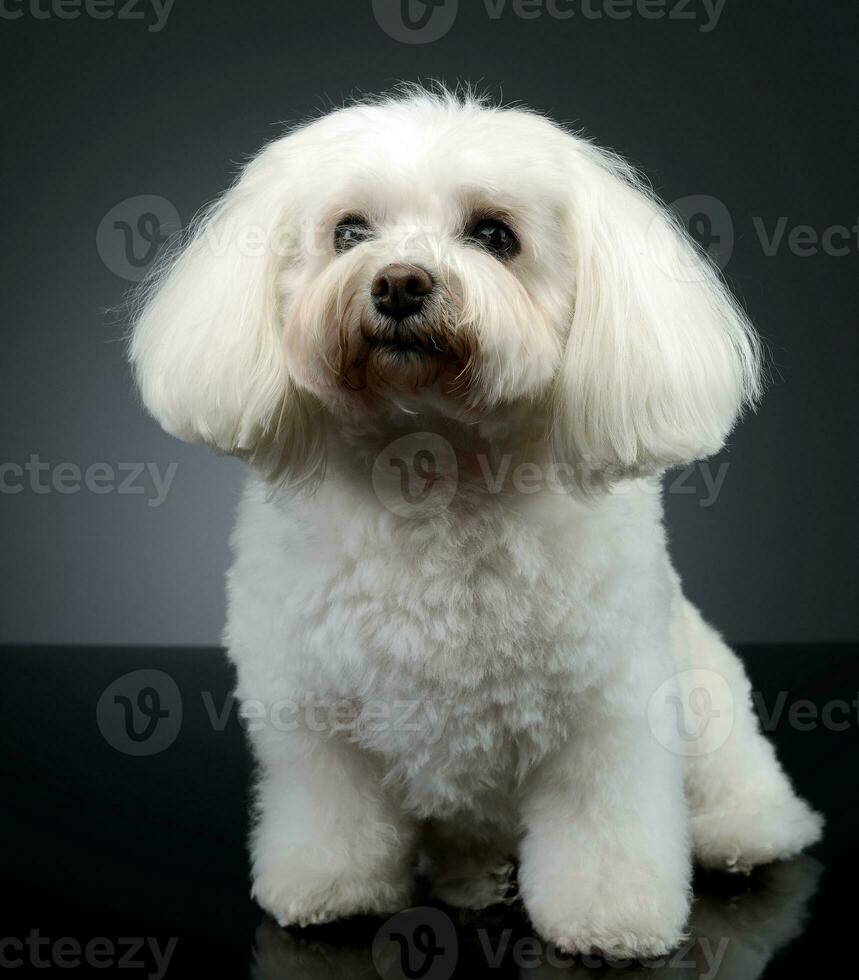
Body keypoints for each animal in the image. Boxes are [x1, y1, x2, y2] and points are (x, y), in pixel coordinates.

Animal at [131, 84, 824, 956]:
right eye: (348, 231)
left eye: (495, 236)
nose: (398, 283)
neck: (432, 469)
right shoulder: (317, 717)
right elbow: (331, 814)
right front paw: (331, 887)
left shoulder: (603, 716)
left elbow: (604, 828)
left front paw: (611, 914)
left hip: (710, 708)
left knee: (746, 791)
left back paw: (741, 832)